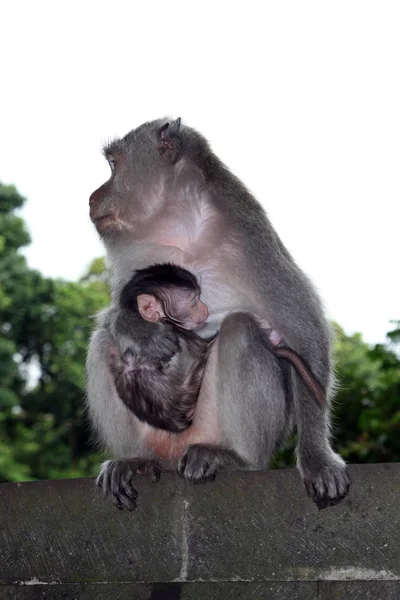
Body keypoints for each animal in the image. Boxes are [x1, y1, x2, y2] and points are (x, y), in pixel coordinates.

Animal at [86, 118, 348, 510]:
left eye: (114, 165)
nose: (92, 196)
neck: (181, 226)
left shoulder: (254, 243)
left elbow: (305, 335)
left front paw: (317, 459)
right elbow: (116, 315)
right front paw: (137, 327)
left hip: (210, 428)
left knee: (241, 329)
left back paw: (234, 460)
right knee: (105, 343)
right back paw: (135, 460)